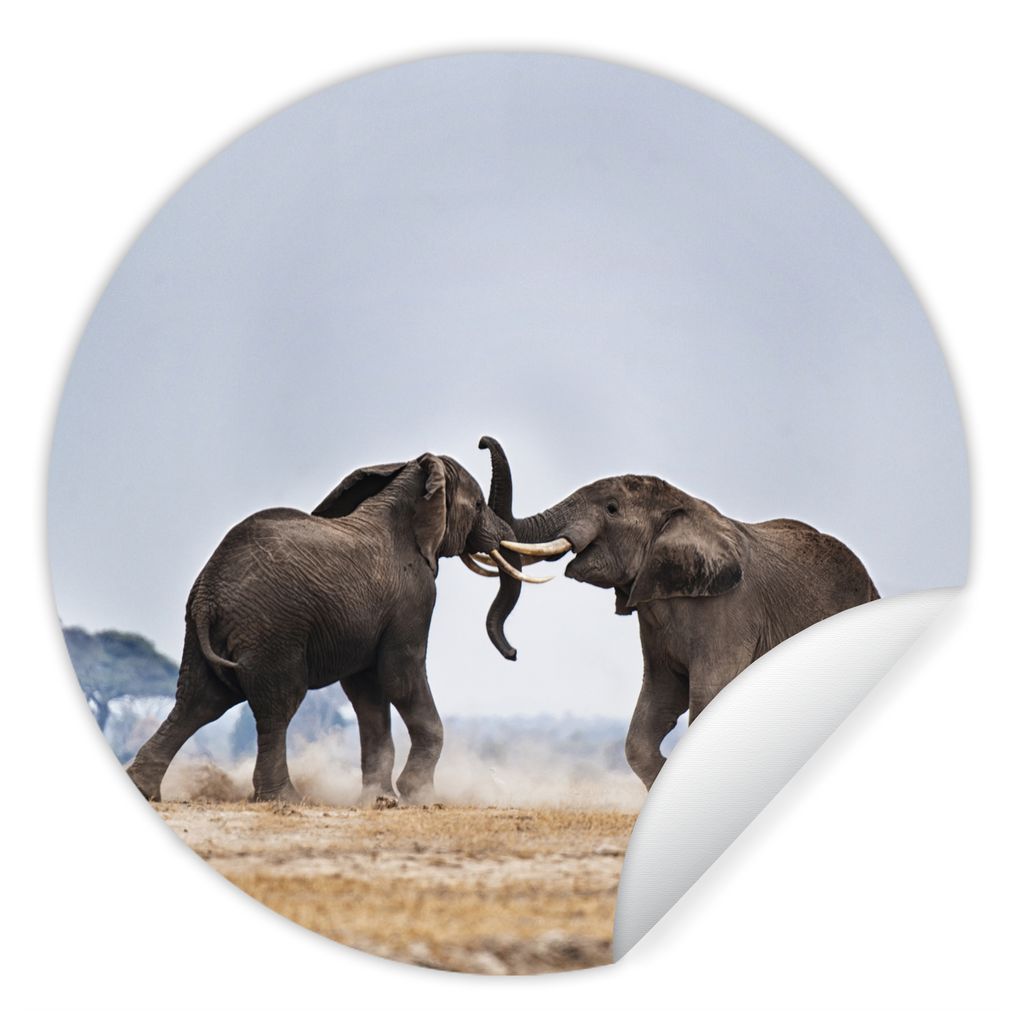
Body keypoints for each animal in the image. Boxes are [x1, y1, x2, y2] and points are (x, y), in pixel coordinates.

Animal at [126, 450, 550, 804]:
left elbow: (368, 691)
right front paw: (421, 798)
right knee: (276, 706)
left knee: (198, 701)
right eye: (478, 505)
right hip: (273, 629)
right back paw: (284, 800)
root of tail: (207, 594)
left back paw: (144, 790)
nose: (514, 654)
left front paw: (380, 800)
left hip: (208, 633)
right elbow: (400, 675)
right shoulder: (415, 595)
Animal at [480, 438, 879, 789]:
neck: (684, 508)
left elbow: (708, 696)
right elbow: (653, 709)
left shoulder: (730, 611)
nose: (483, 442)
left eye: (611, 508)